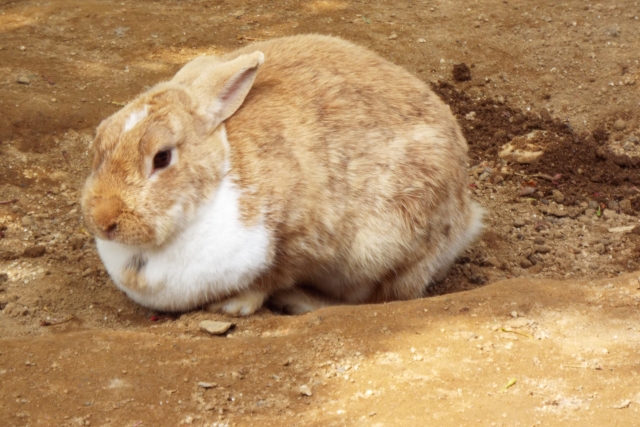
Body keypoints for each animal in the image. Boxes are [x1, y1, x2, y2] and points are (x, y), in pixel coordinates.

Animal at [80, 34, 482, 318]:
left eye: (162, 157)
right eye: (98, 140)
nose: (103, 221)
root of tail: (466, 218)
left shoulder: (296, 240)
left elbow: (272, 276)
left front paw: (233, 305)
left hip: (393, 249)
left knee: (383, 297)